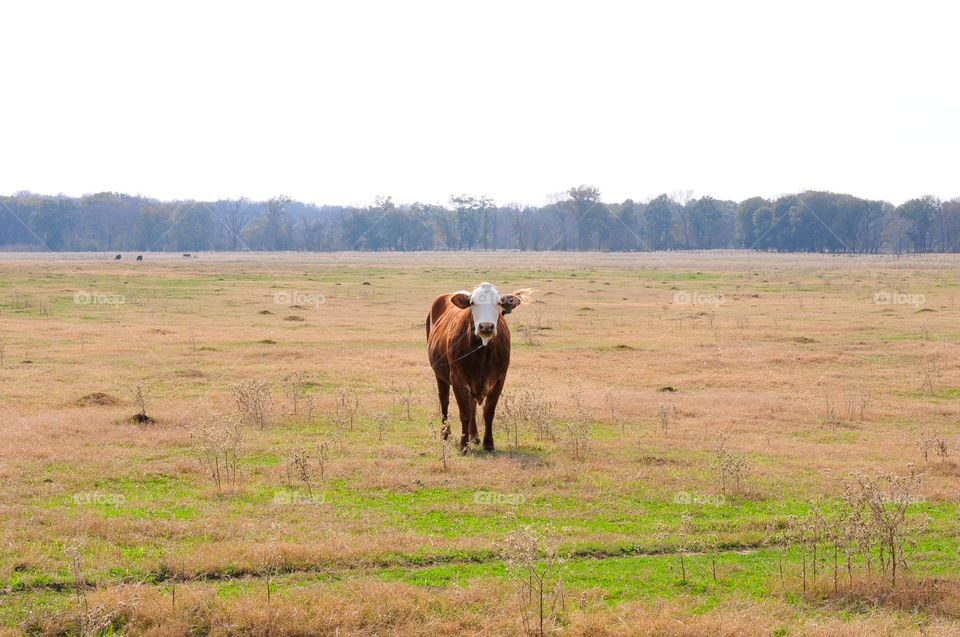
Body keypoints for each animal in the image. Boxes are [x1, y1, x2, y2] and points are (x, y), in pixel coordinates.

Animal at [426, 283, 531, 453]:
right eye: (472, 303)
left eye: (499, 303)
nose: (486, 326)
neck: (482, 352)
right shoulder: (457, 379)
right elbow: (464, 413)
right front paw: (463, 445)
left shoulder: (499, 379)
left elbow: (488, 412)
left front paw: (488, 443)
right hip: (440, 376)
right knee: (444, 402)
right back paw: (446, 433)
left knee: (473, 404)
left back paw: (474, 436)